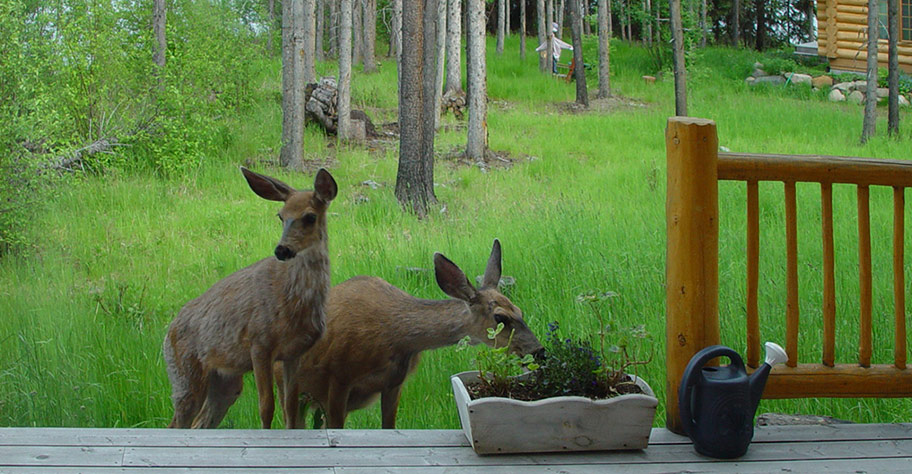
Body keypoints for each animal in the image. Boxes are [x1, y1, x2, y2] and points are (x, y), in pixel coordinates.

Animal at [162, 167, 336, 430]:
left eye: (309, 217)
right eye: (280, 216)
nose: (282, 250)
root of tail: (167, 334)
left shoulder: (294, 353)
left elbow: (290, 408)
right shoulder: (259, 342)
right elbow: (266, 407)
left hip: (226, 382)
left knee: (200, 422)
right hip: (185, 374)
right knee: (177, 423)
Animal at [274, 241, 544, 430]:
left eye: (520, 310)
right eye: (500, 317)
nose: (539, 350)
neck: (395, 336)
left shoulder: (394, 383)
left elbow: (388, 426)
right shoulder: (338, 377)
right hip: (290, 388)